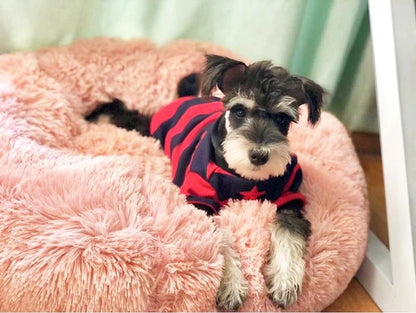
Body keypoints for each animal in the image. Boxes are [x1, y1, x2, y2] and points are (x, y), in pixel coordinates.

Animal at [85, 54, 324, 308]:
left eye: (282, 118)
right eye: (239, 111)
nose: (259, 155)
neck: (244, 178)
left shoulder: (290, 198)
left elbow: (289, 233)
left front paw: (284, 282)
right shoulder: (200, 200)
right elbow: (219, 237)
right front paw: (231, 284)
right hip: (147, 130)